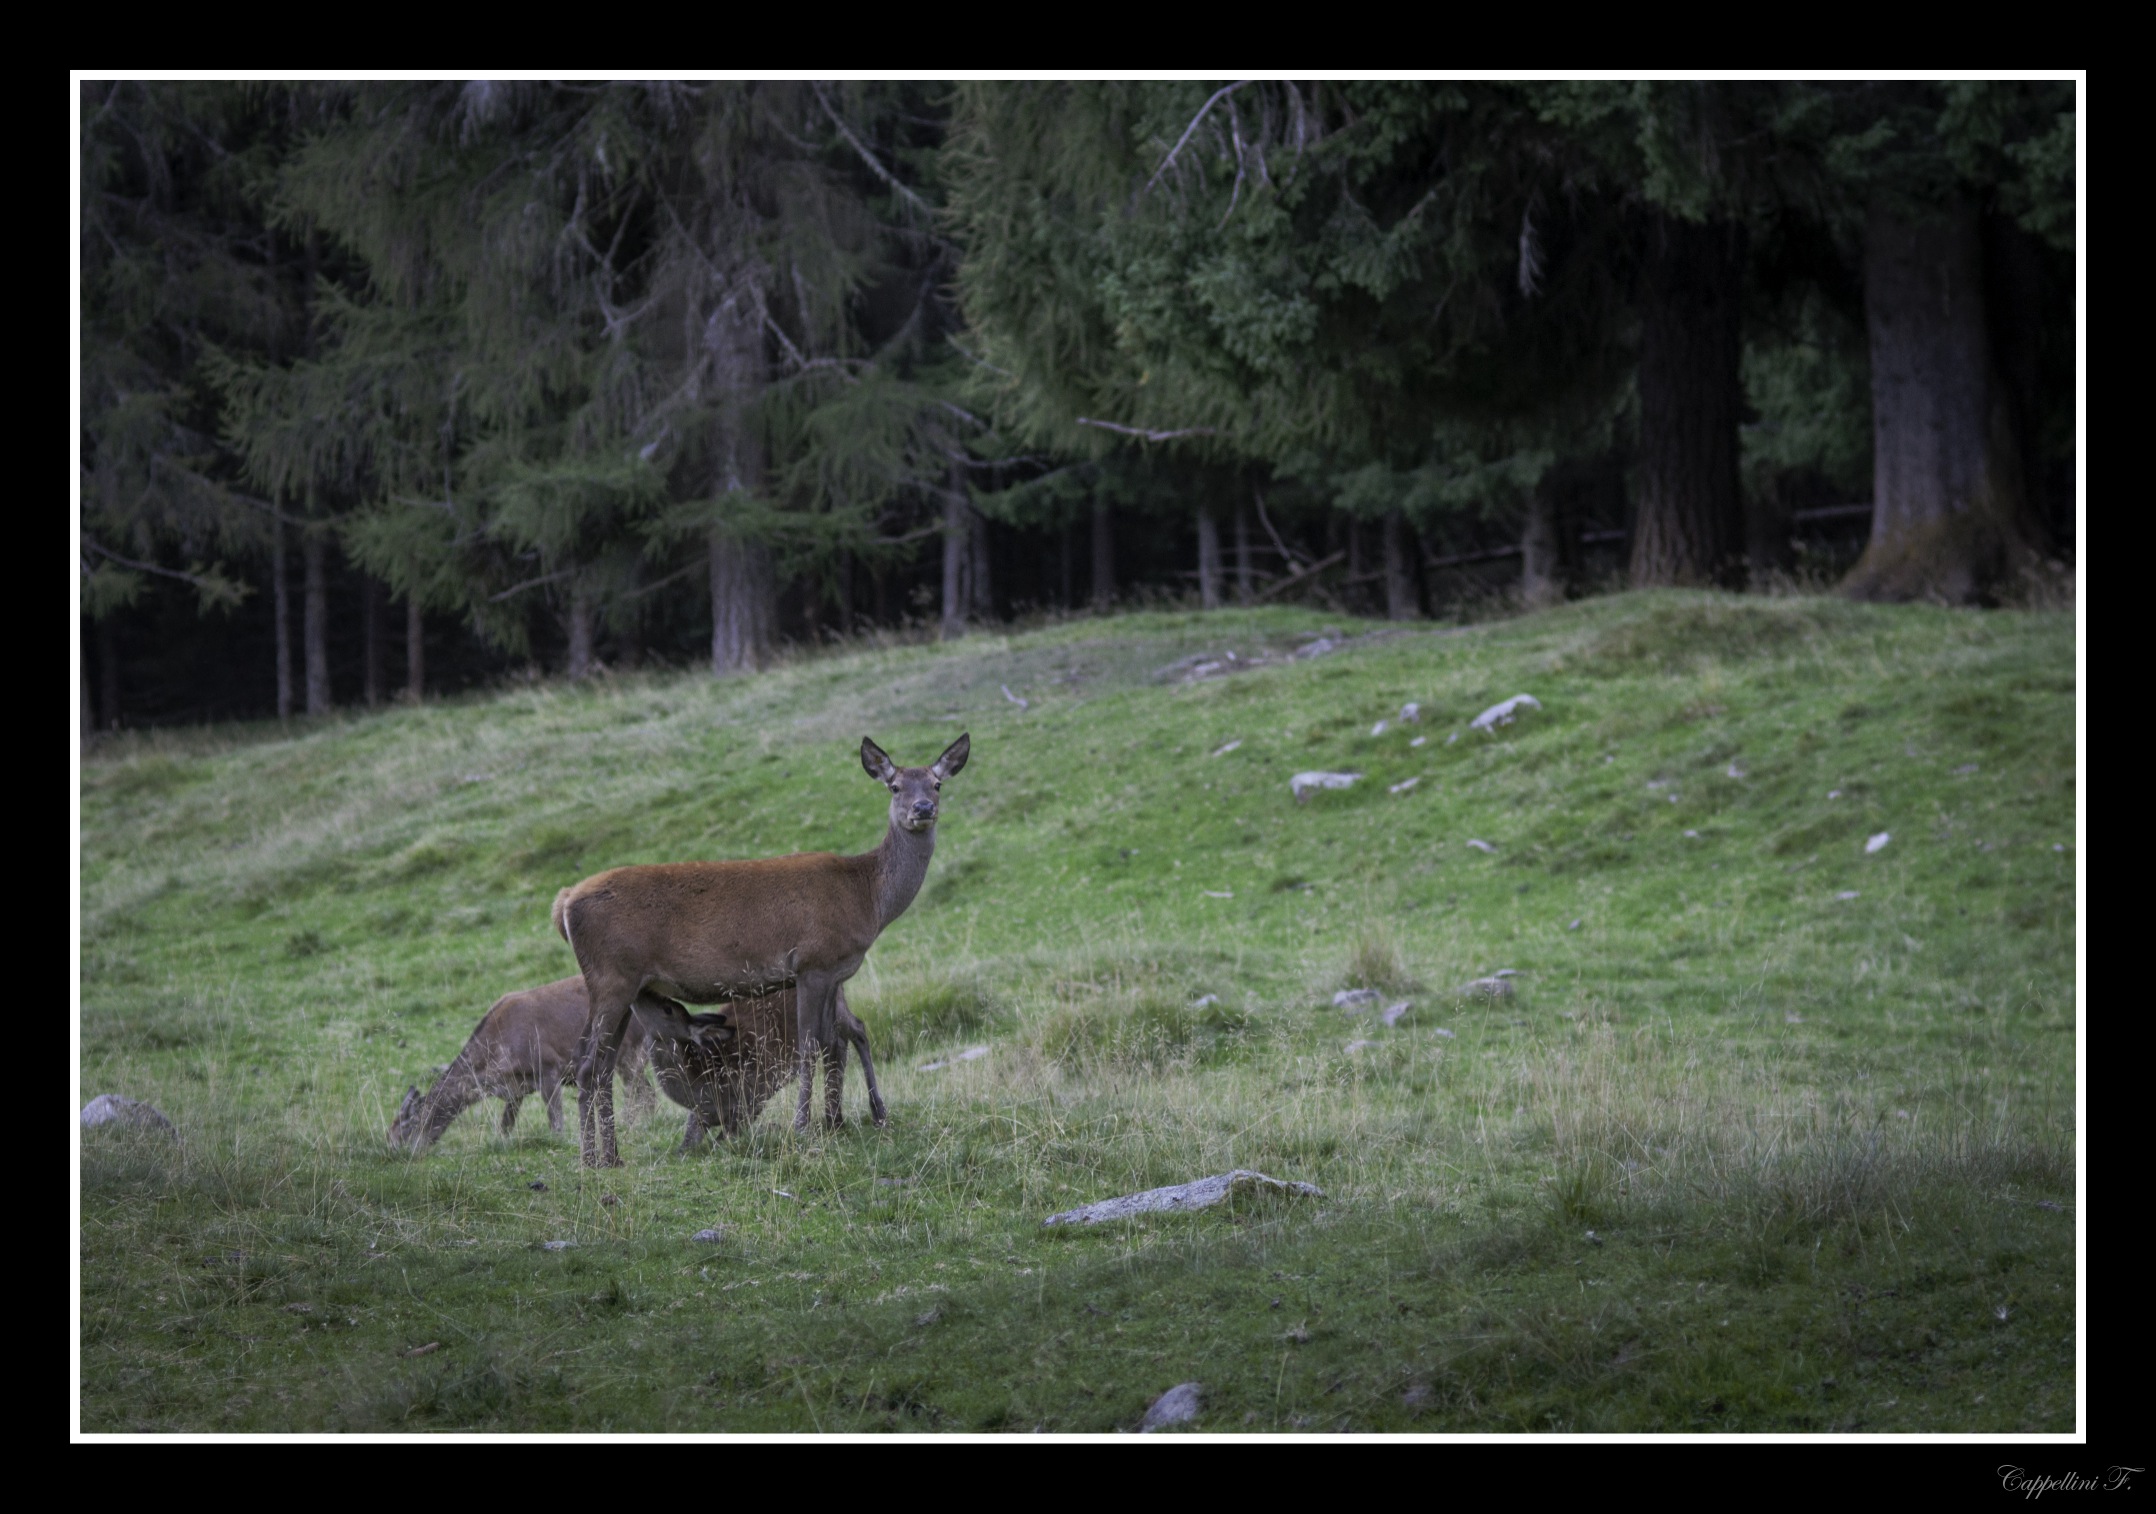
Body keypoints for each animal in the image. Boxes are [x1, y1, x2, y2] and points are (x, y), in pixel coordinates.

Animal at [387, 976, 669, 1154]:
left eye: (407, 1125)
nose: (393, 1148)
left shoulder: (549, 1067)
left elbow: (556, 1122)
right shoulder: (516, 1090)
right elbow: (505, 1126)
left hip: (629, 1052)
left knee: (639, 1092)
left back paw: (632, 1125)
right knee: (646, 1092)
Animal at [630, 978, 886, 1150]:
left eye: (668, 1008)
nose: (642, 991)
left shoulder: (753, 1097)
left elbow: (722, 1140)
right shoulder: (700, 1115)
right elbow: (686, 1145)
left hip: (834, 1009)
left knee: (857, 1030)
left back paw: (877, 1111)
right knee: (838, 1045)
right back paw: (836, 1119)